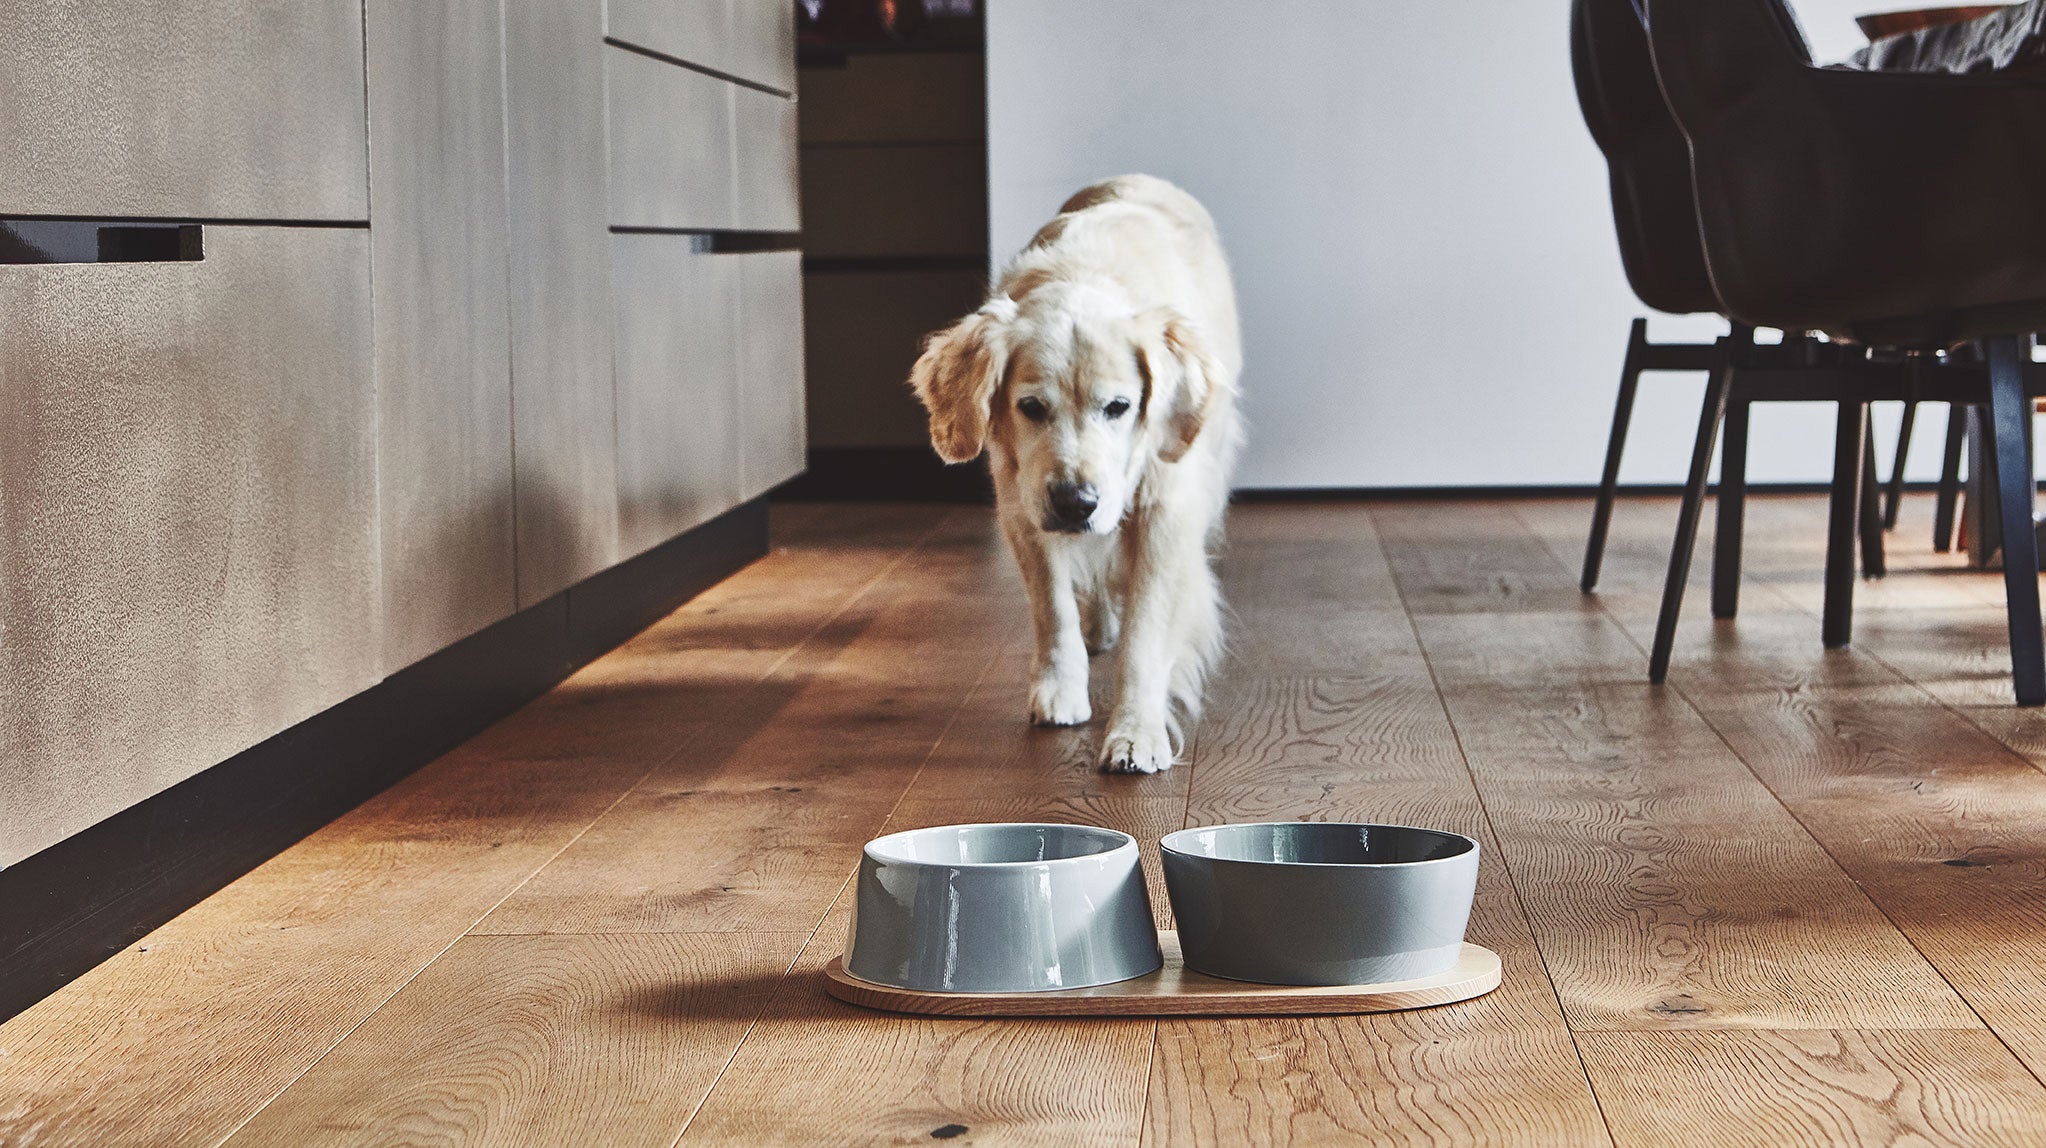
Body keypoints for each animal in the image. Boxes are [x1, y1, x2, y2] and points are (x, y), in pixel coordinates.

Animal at [916, 177, 1243, 769]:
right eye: (1030, 407)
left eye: (1118, 407)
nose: (1076, 503)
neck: (1082, 278)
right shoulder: (1022, 504)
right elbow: (1053, 608)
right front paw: (1061, 689)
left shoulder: (1165, 512)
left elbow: (1146, 636)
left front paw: (1136, 731)